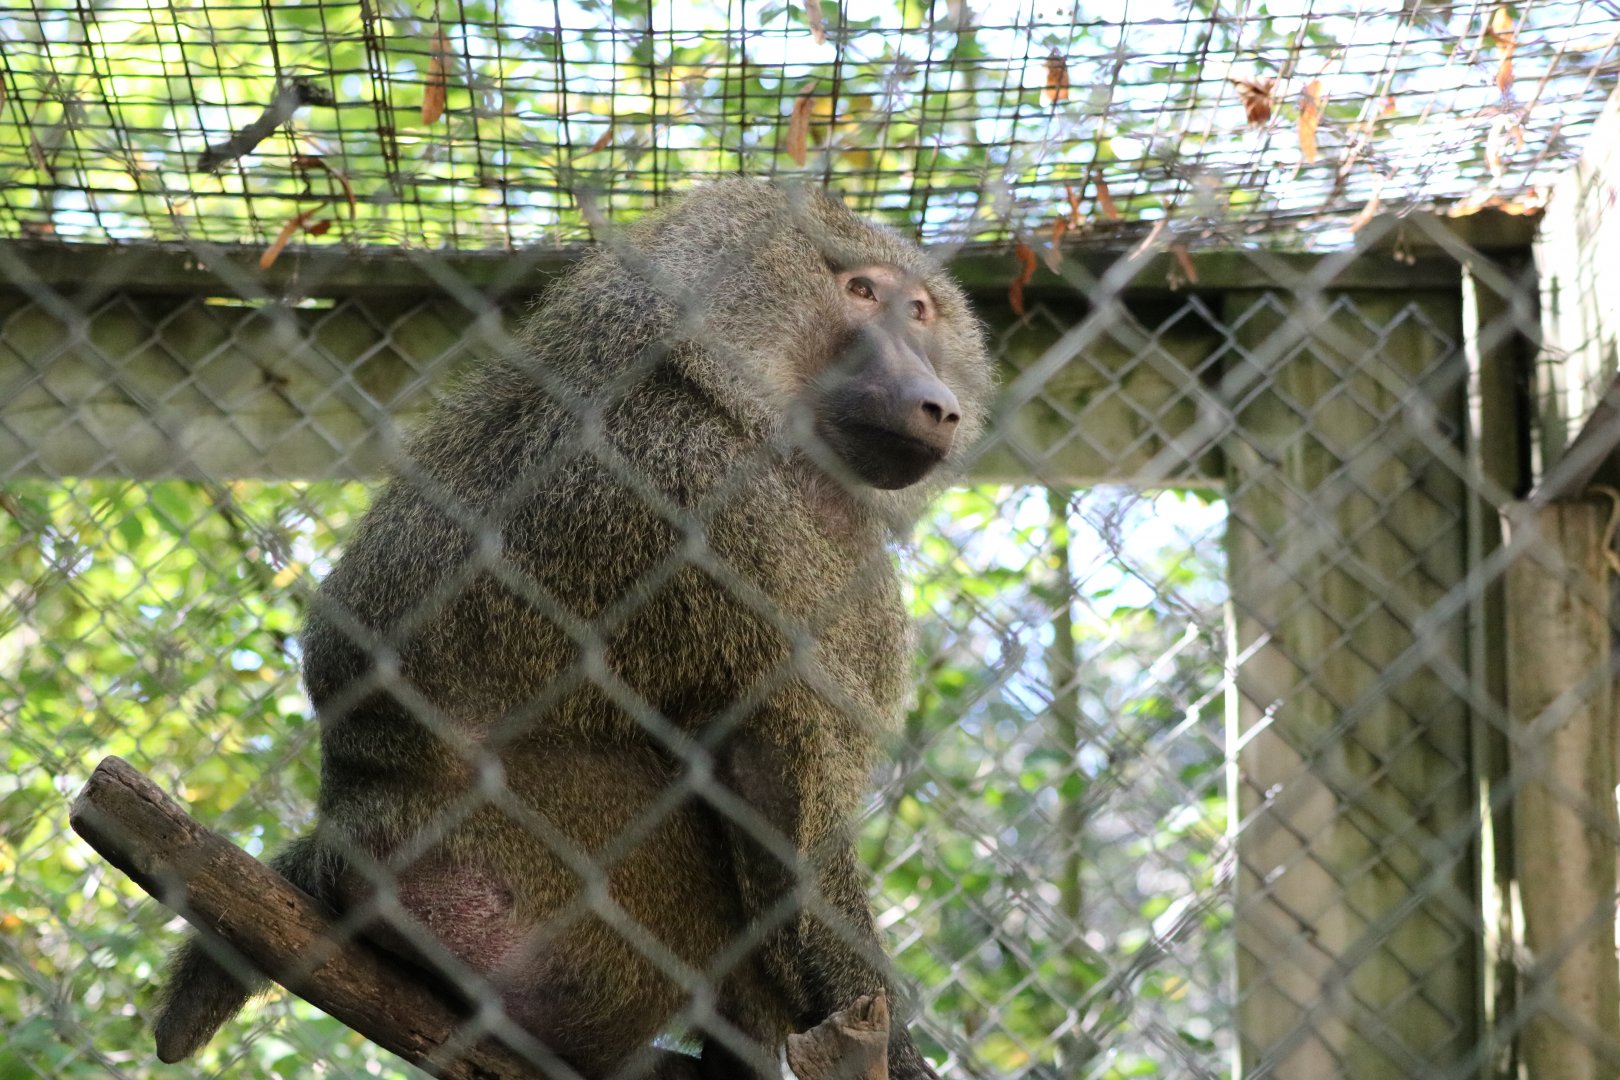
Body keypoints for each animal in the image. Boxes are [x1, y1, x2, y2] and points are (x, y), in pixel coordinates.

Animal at [152, 179, 994, 1079]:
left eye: (920, 312)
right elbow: (770, 788)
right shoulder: (705, 494)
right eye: (861, 292)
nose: (938, 403)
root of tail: (351, 822)